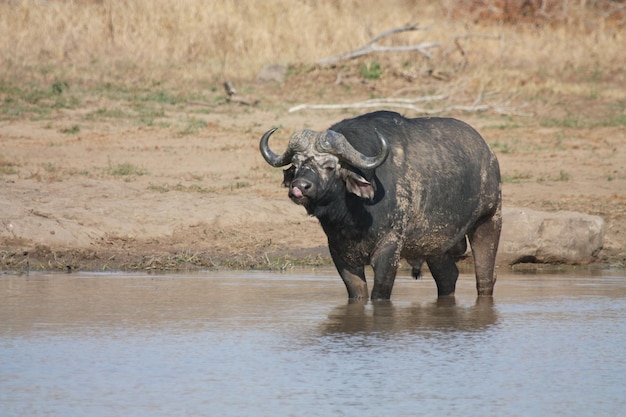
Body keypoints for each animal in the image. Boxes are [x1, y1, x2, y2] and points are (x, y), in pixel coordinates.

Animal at [260, 110, 502, 300]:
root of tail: (488, 153)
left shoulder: (389, 249)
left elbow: (380, 294)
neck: (353, 218)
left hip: (489, 220)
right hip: (435, 246)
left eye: (329, 166)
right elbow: (357, 293)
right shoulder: (340, 254)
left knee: (485, 277)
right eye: (297, 164)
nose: (300, 187)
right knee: (448, 278)